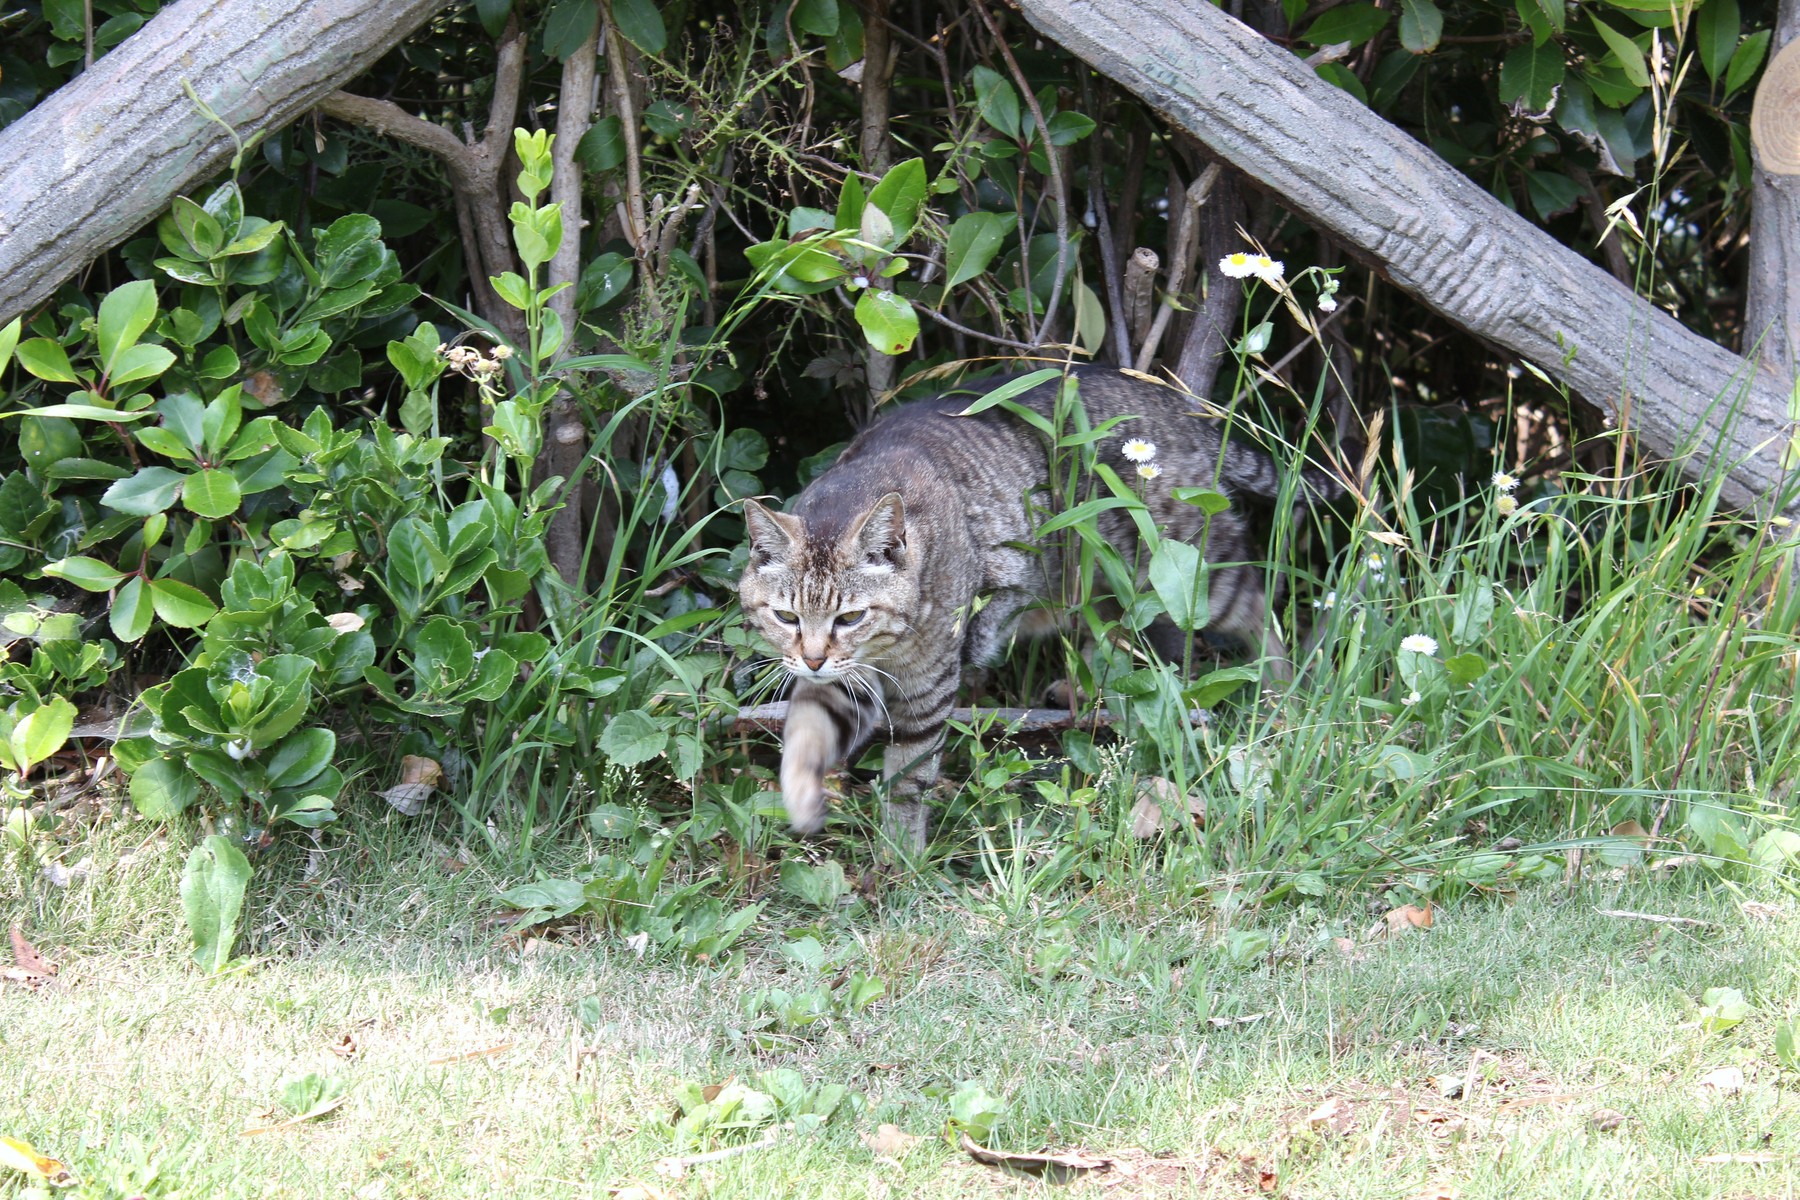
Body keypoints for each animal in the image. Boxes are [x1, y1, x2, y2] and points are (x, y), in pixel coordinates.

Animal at [738, 365, 1331, 852]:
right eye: (787, 618)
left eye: (850, 618)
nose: (813, 658)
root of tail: (1171, 399)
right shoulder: (843, 682)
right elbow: (806, 729)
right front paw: (801, 798)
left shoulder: (928, 687)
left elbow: (908, 779)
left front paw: (900, 857)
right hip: (1105, 585)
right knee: (1111, 639)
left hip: (1189, 574)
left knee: (1262, 606)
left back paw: (1286, 695)